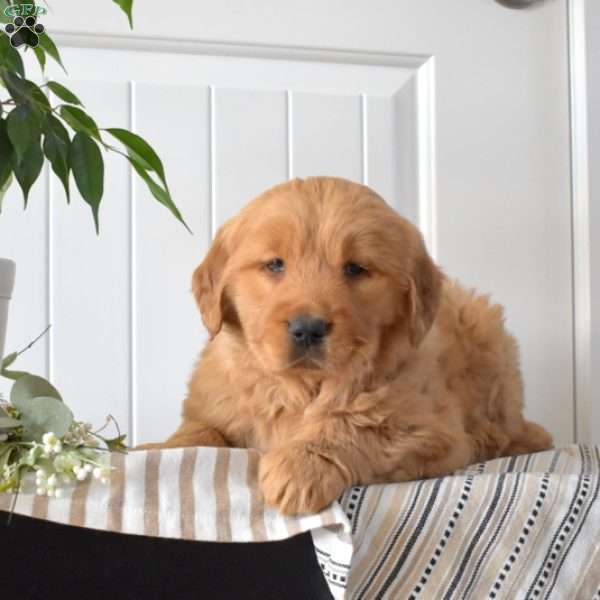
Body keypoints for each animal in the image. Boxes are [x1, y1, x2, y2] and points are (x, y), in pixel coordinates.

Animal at [141, 176, 552, 512]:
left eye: (356, 269)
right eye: (274, 264)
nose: (307, 328)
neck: (300, 387)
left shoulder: (428, 426)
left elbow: (357, 425)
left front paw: (299, 466)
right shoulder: (214, 405)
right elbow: (200, 433)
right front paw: (159, 449)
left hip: (488, 335)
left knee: (508, 424)